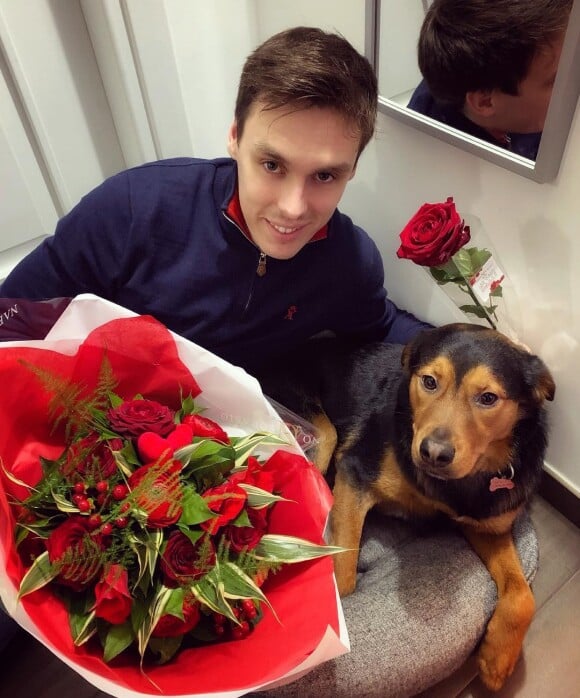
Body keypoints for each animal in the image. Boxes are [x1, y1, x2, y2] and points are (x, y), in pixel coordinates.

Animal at [256, 324, 556, 688]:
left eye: (488, 398)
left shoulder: (486, 523)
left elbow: (522, 594)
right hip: (318, 429)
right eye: (429, 381)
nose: (433, 453)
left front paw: (497, 660)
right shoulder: (355, 473)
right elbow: (344, 574)